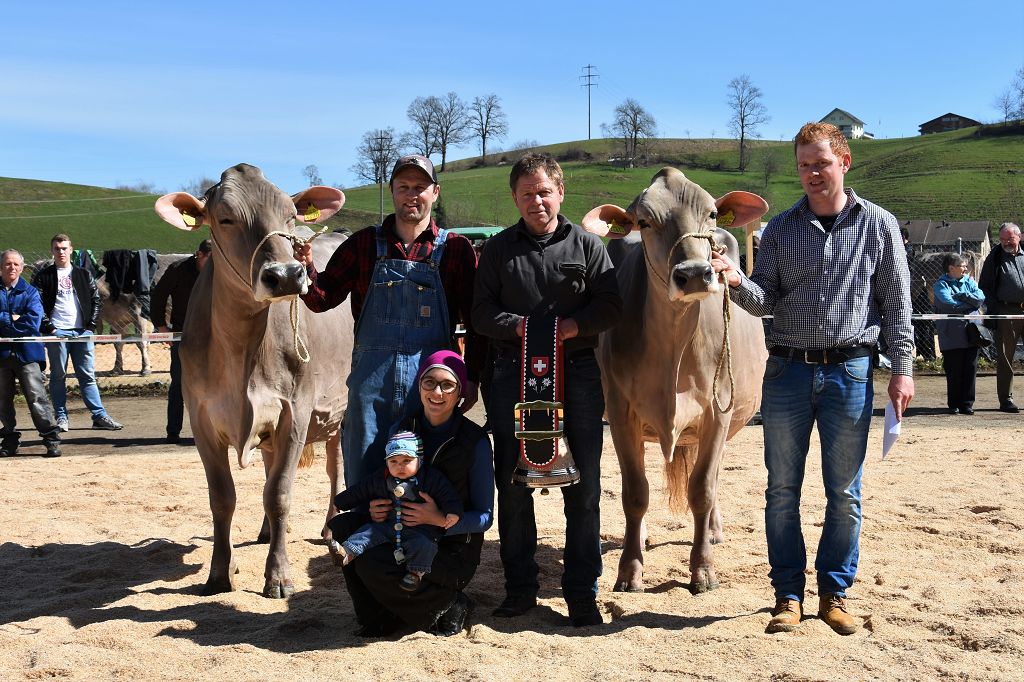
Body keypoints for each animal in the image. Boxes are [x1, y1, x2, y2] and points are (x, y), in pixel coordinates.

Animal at [155, 163, 354, 598]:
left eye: (290, 216)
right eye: (225, 218)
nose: (287, 275)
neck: (240, 354)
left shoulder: (295, 412)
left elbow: (279, 493)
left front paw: (278, 575)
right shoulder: (202, 419)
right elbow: (222, 498)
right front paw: (219, 572)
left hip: (342, 409)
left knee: (337, 469)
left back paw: (332, 530)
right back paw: (268, 532)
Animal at [581, 167, 769, 594]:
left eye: (712, 214)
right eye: (644, 221)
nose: (696, 274)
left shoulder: (717, 412)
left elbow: (702, 489)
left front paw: (703, 570)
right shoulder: (621, 415)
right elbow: (635, 493)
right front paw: (630, 570)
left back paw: (713, 530)